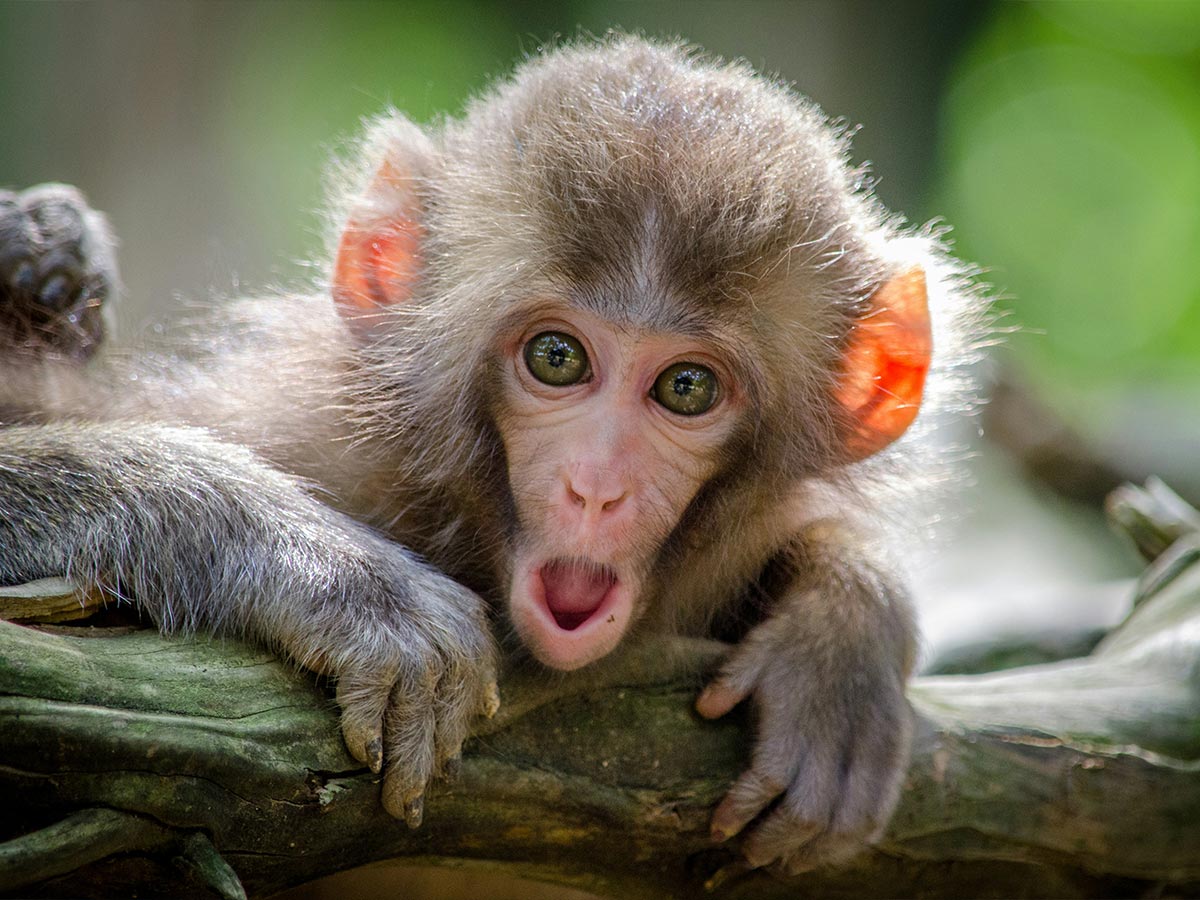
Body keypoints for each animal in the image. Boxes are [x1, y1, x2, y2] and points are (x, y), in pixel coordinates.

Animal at [0, 37, 981, 874]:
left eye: (686, 388)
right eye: (557, 358)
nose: (597, 488)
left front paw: (842, 636)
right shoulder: (299, 427)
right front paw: (338, 577)